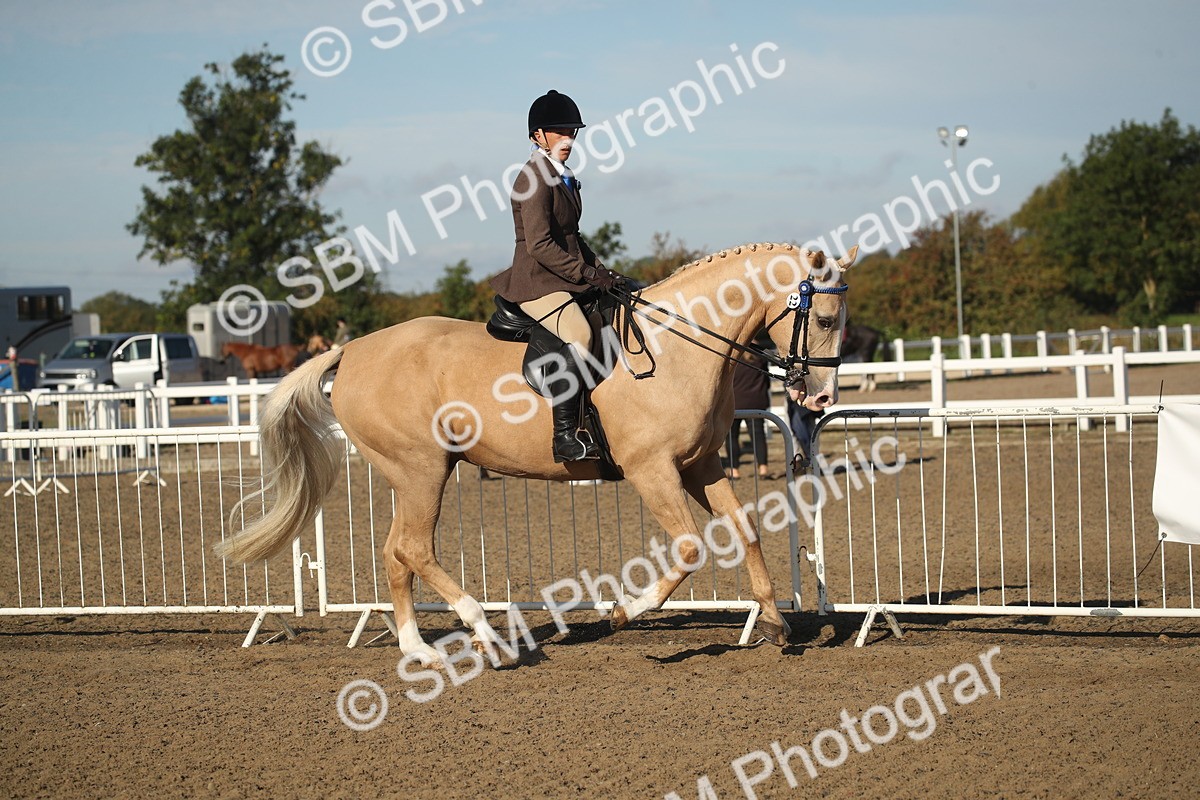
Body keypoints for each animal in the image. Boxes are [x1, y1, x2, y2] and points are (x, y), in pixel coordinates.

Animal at [216, 243, 859, 667]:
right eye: (825, 318)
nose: (822, 398)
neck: (679, 346)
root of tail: (350, 351)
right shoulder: (652, 470)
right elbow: (689, 549)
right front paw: (623, 611)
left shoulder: (700, 465)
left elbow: (744, 528)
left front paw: (774, 622)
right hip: (422, 469)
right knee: (413, 548)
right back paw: (485, 633)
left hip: (413, 474)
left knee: (398, 552)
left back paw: (418, 647)